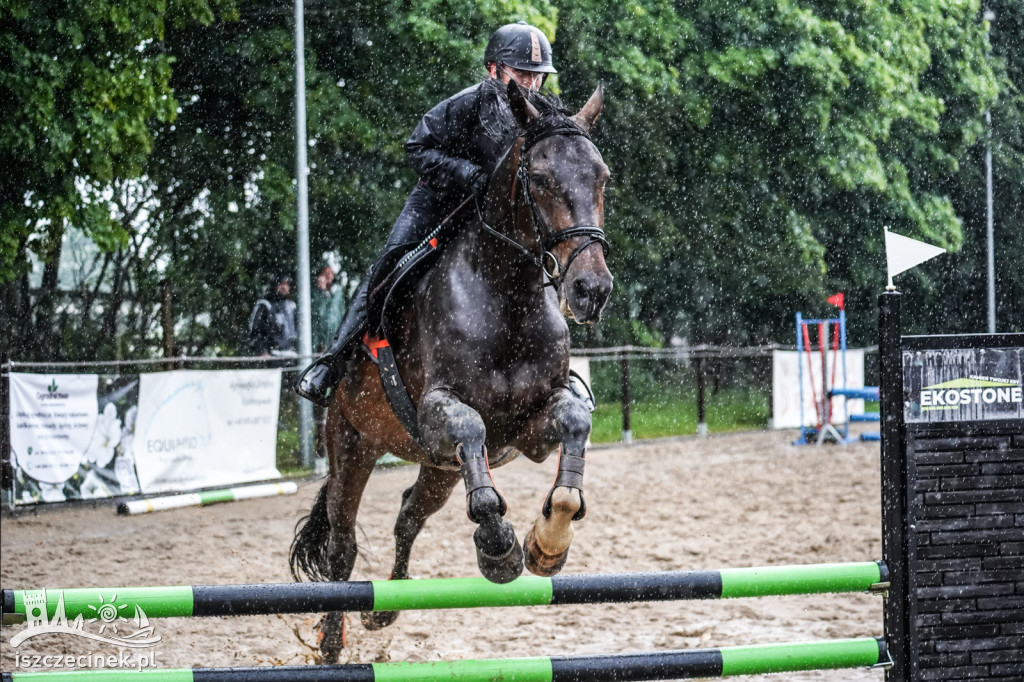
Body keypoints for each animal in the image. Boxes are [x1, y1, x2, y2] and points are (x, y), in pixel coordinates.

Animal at [288, 79, 610, 659]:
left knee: (410, 515)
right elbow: (470, 426)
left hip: (437, 467)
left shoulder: (530, 431)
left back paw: (384, 611)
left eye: (602, 177)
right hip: (351, 442)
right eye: (541, 179)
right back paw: (331, 641)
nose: (591, 290)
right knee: (342, 546)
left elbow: (574, 424)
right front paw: (499, 548)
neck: (506, 299)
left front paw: (547, 543)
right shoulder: (439, 411)